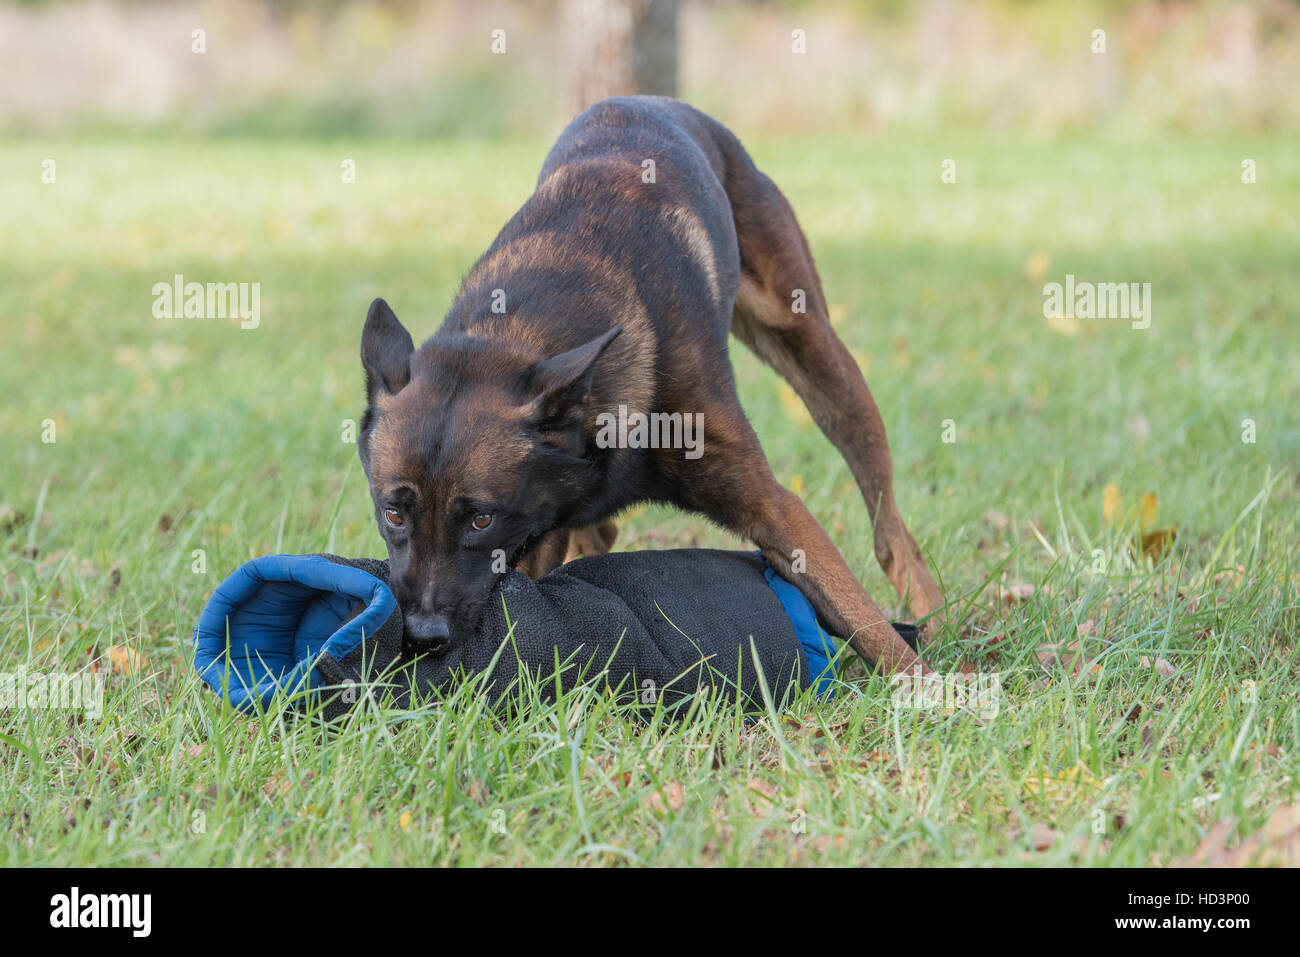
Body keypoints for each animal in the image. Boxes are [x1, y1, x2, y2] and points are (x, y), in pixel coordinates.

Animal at [356, 93, 946, 670]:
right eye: (392, 513)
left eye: (481, 519)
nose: (421, 638)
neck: (523, 329)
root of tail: (653, 99)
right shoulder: (540, 527)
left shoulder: (773, 507)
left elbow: (868, 625)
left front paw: (928, 688)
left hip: (820, 360)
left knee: (892, 534)